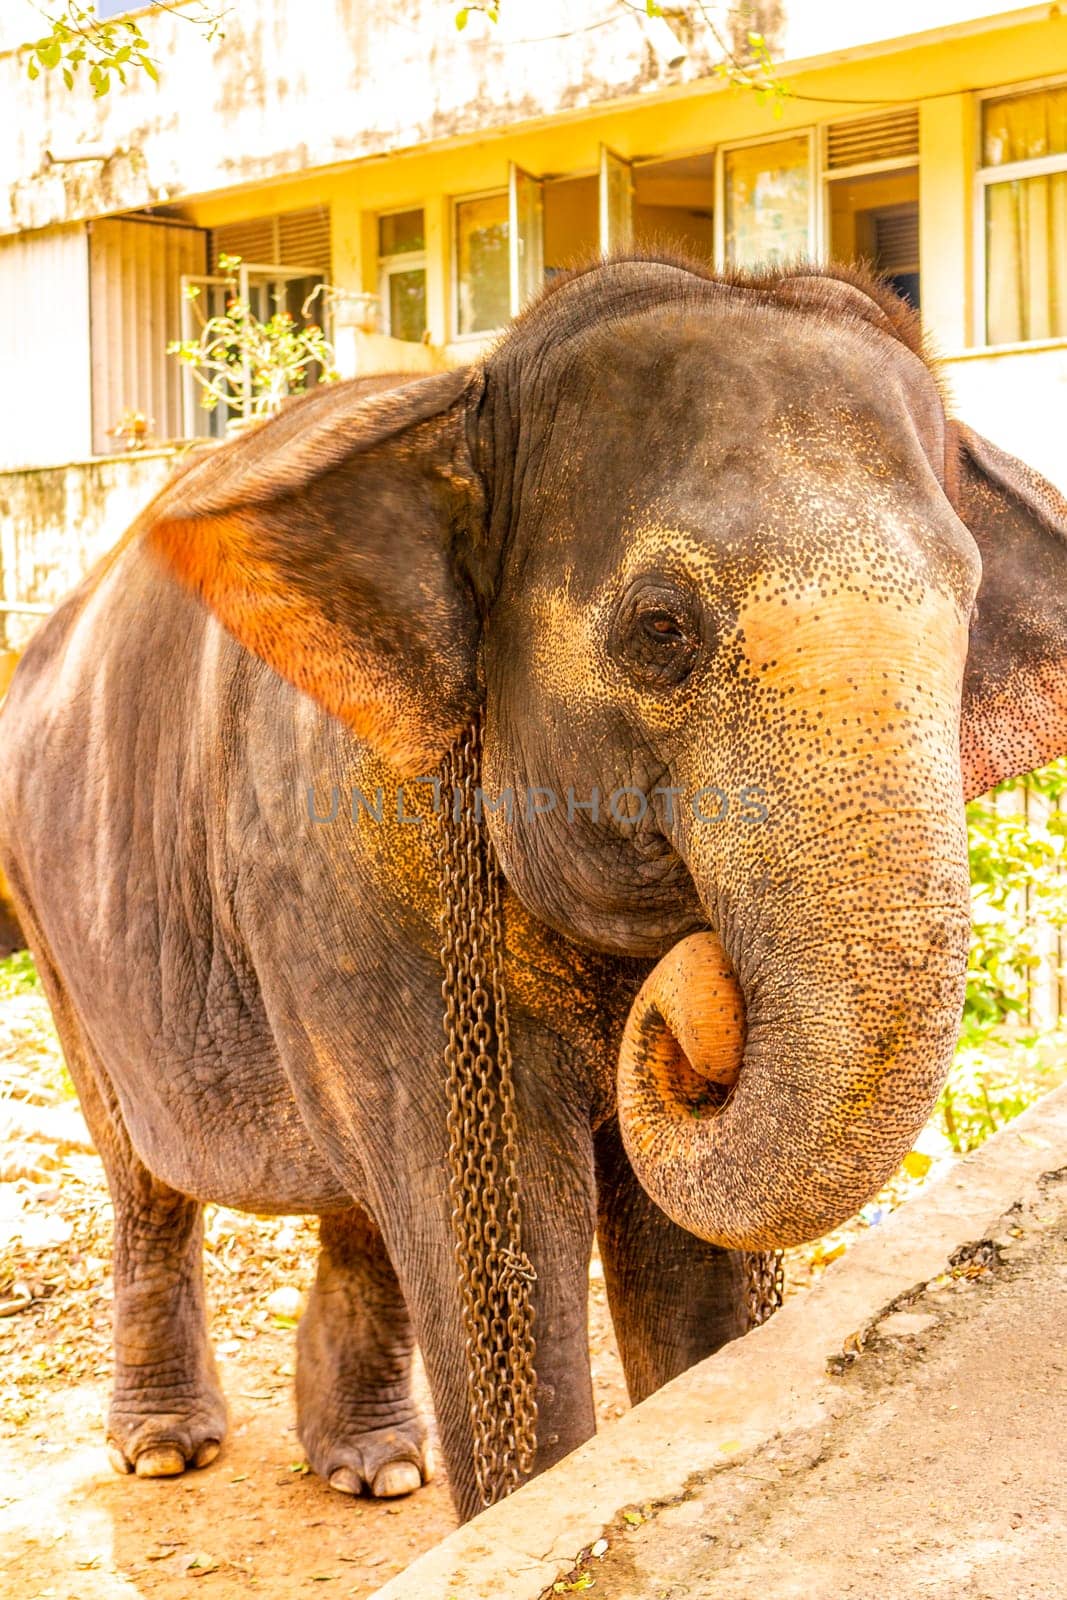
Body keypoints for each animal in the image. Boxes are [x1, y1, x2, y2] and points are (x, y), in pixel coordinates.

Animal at [2, 256, 1067, 1516]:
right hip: (51, 910)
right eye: (660, 627)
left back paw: (375, 1467)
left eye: (963, 610)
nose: (702, 992)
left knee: (354, 1199)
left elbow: (682, 1264)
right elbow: (491, 1250)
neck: (470, 398)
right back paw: (170, 1447)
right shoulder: (345, 869)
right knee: (143, 1172)